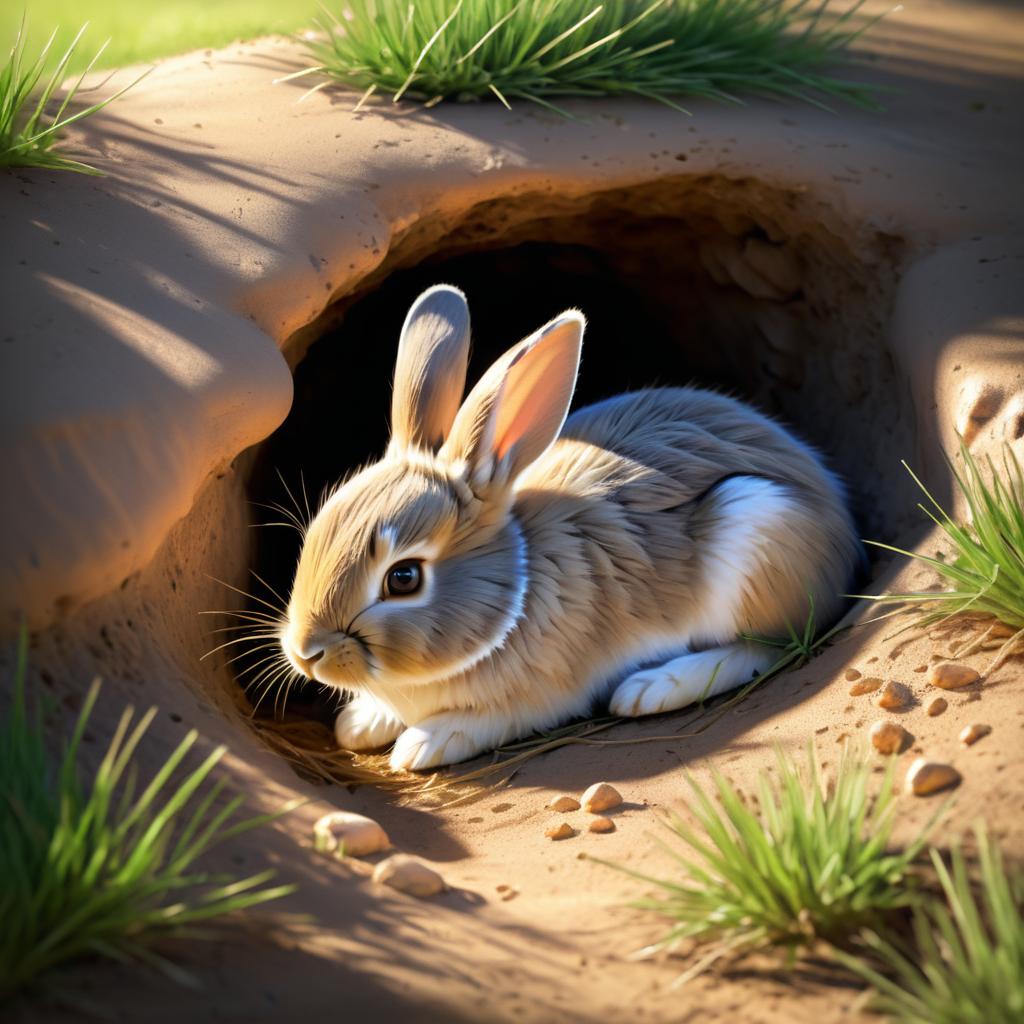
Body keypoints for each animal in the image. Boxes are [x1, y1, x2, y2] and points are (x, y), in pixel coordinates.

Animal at [278, 282, 856, 770]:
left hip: (756, 524)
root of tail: (842, 532)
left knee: (769, 647)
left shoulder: (544, 696)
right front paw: (359, 723)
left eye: (404, 578)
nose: (307, 654)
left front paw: (421, 745)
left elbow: (489, 720)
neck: (515, 595)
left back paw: (653, 688)